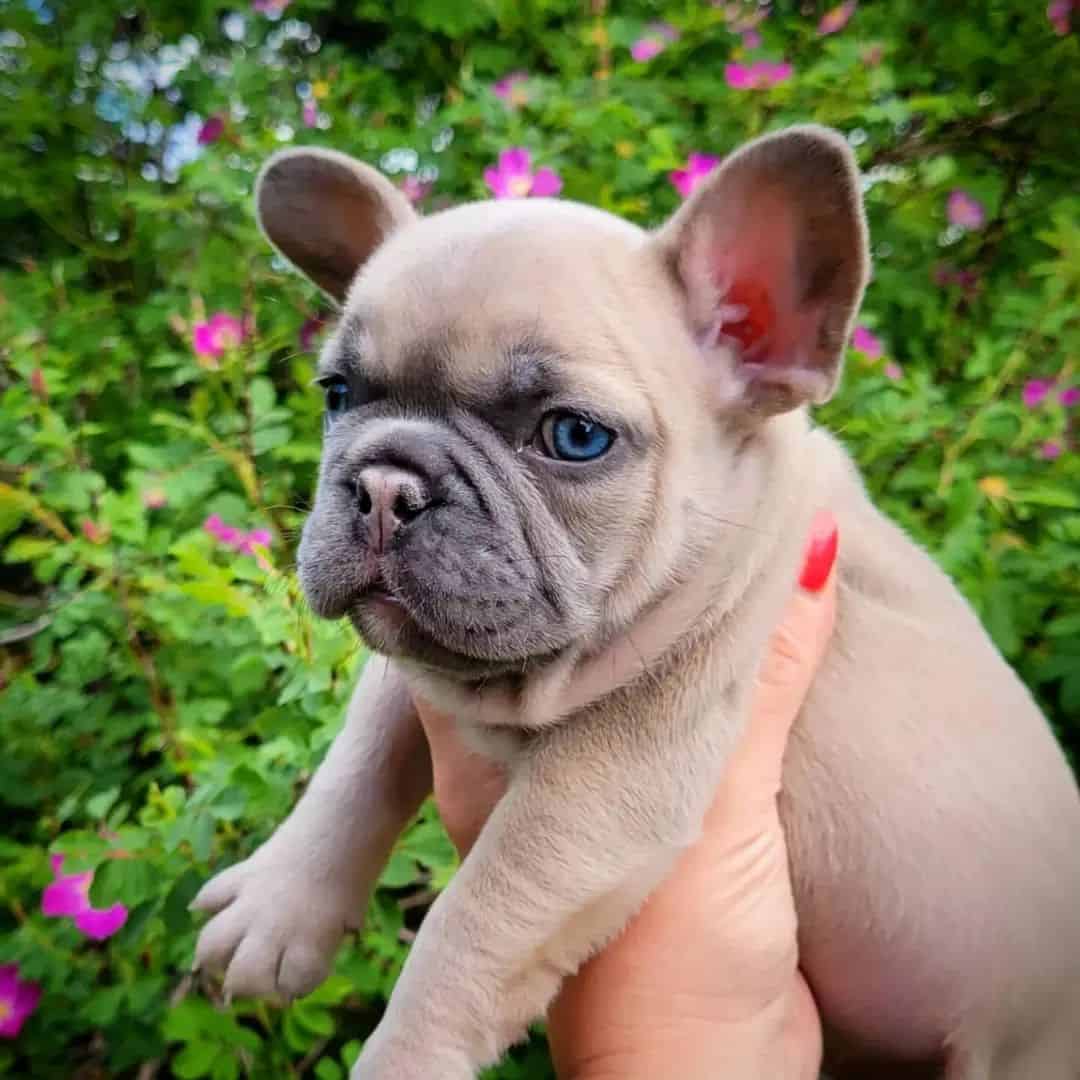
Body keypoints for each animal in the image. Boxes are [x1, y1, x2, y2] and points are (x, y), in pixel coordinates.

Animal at [192, 128, 1080, 1080]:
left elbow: (470, 925)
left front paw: (402, 1058)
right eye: (339, 394)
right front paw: (276, 906)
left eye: (574, 436)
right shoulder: (418, 665)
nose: (386, 484)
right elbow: (354, 766)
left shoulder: (603, 787)